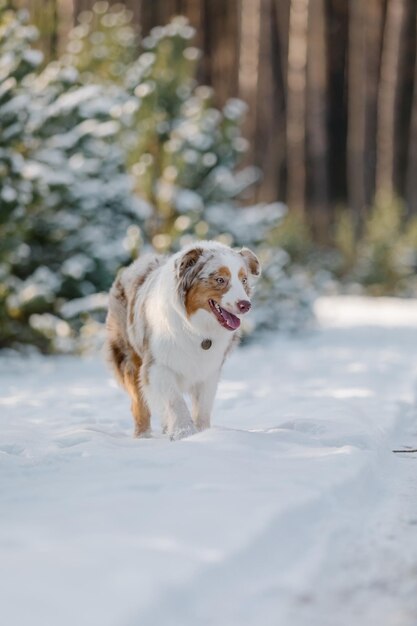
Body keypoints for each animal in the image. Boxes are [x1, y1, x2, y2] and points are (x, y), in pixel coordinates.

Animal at [105, 239, 258, 438]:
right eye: (220, 279)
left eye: (244, 280)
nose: (245, 305)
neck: (197, 329)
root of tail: (133, 266)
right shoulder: (157, 366)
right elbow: (175, 401)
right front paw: (184, 433)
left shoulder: (209, 370)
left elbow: (202, 408)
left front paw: (203, 434)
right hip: (129, 358)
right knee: (139, 404)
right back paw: (143, 436)